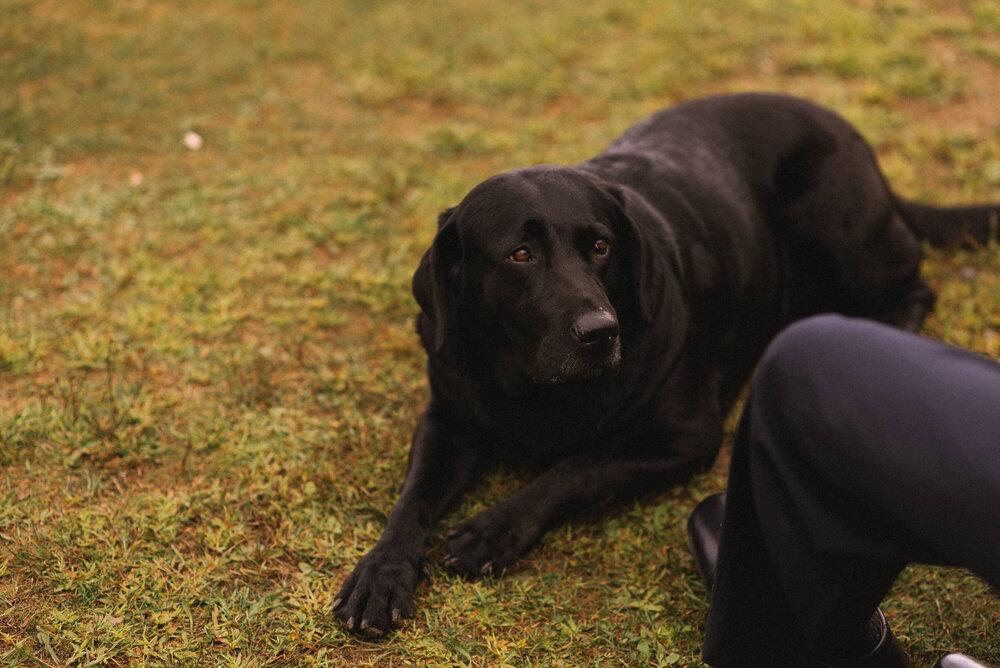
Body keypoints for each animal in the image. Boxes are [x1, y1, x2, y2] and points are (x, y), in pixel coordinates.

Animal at [338, 92, 1000, 632]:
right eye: (520, 254)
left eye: (600, 245)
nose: (600, 333)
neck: (534, 386)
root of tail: (852, 135)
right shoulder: (448, 416)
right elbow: (411, 500)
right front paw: (381, 574)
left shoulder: (686, 438)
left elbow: (574, 469)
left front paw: (498, 526)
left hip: (837, 228)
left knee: (915, 289)